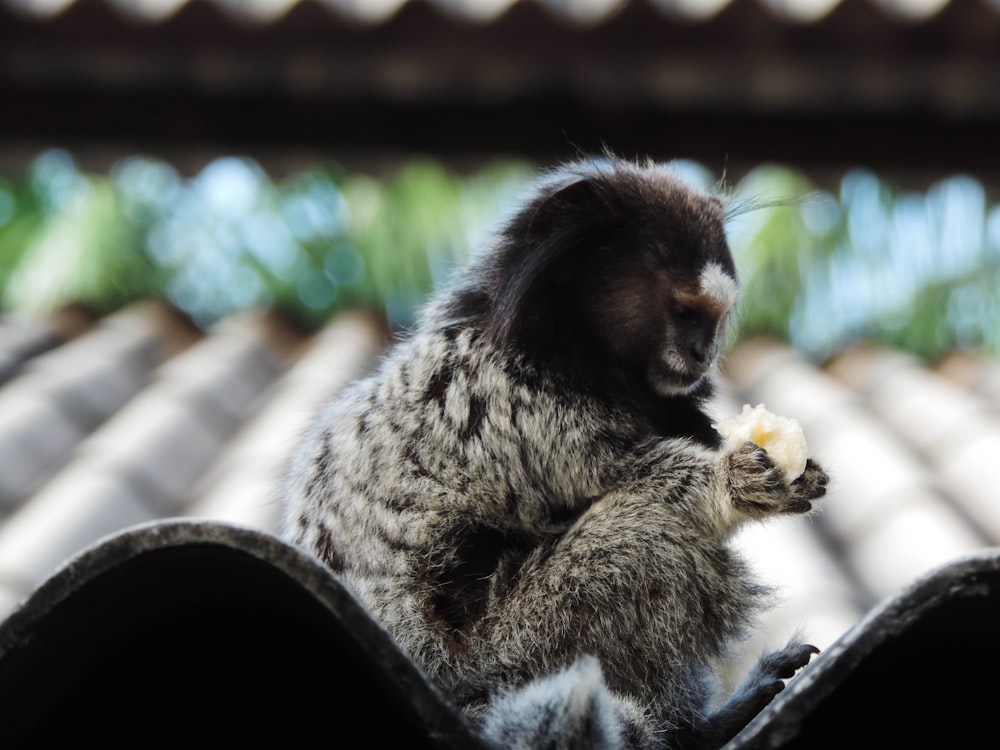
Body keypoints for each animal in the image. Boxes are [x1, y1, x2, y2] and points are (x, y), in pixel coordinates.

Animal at [282, 156, 828, 748]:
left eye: (715, 317)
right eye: (685, 312)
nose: (702, 353)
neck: (570, 353)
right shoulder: (509, 405)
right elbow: (643, 482)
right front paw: (735, 481)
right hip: (516, 650)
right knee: (651, 535)